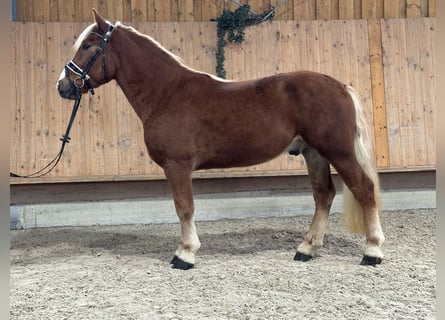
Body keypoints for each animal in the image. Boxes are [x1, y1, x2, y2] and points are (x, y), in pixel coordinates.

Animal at [56, 10, 382, 268]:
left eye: (87, 46)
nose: (63, 86)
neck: (167, 92)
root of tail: (340, 86)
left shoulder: (177, 165)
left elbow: (184, 207)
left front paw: (185, 254)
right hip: (314, 153)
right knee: (323, 195)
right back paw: (306, 249)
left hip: (339, 152)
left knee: (364, 189)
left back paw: (372, 251)